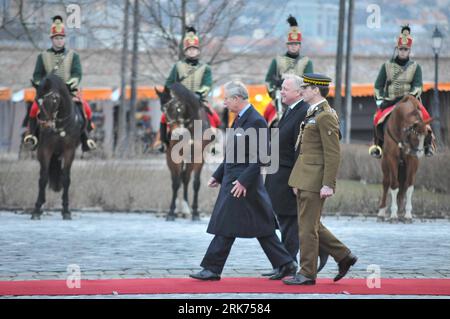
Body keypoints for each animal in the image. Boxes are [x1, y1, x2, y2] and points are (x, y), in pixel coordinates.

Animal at [29, 74, 83, 220]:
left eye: (54, 99)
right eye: (36, 100)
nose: (45, 125)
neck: (60, 124)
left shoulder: (70, 150)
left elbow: (66, 178)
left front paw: (66, 210)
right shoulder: (45, 150)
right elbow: (43, 178)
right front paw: (37, 209)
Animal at [156, 83, 214, 222]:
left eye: (178, 108)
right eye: (162, 110)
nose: (176, 134)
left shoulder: (199, 157)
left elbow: (196, 183)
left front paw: (196, 212)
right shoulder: (174, 157)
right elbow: (176, 183)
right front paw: (171, 212)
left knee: (186, 178)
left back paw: (187, 209)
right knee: (180, 178)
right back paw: (181, 208)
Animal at [376, 96, 432, 224]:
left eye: (426, 136)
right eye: (414, 136)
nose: (419, 153)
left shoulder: (412, 160)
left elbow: (409, 186)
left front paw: (407, 215)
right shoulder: (392, 158)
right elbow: (394, 185)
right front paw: (393, 214)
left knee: (404, 185)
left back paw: (401, 212)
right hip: (385, 161)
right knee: (386, 182)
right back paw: (382, 212)